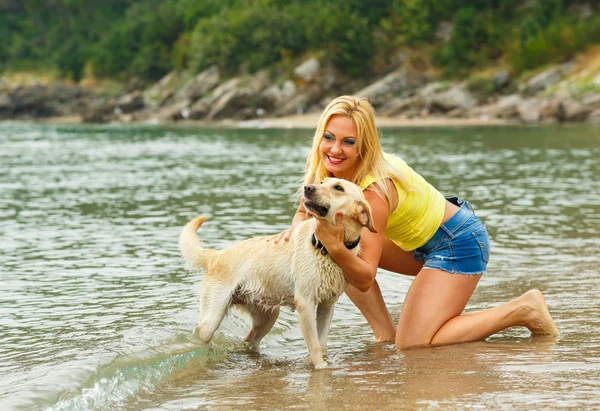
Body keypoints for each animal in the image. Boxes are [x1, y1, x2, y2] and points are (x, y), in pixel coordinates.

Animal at [178, 178, 376, 370]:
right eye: (321, 182)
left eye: (338, 187)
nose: (308, 187)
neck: (325, 248)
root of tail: (217, 255)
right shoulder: (305, 303)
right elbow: (314, 345)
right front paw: (320, 367)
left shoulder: (327, 305)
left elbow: (322, 343)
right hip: (211, 319)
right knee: (201, 339)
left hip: (267, 318)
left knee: (249, 341)